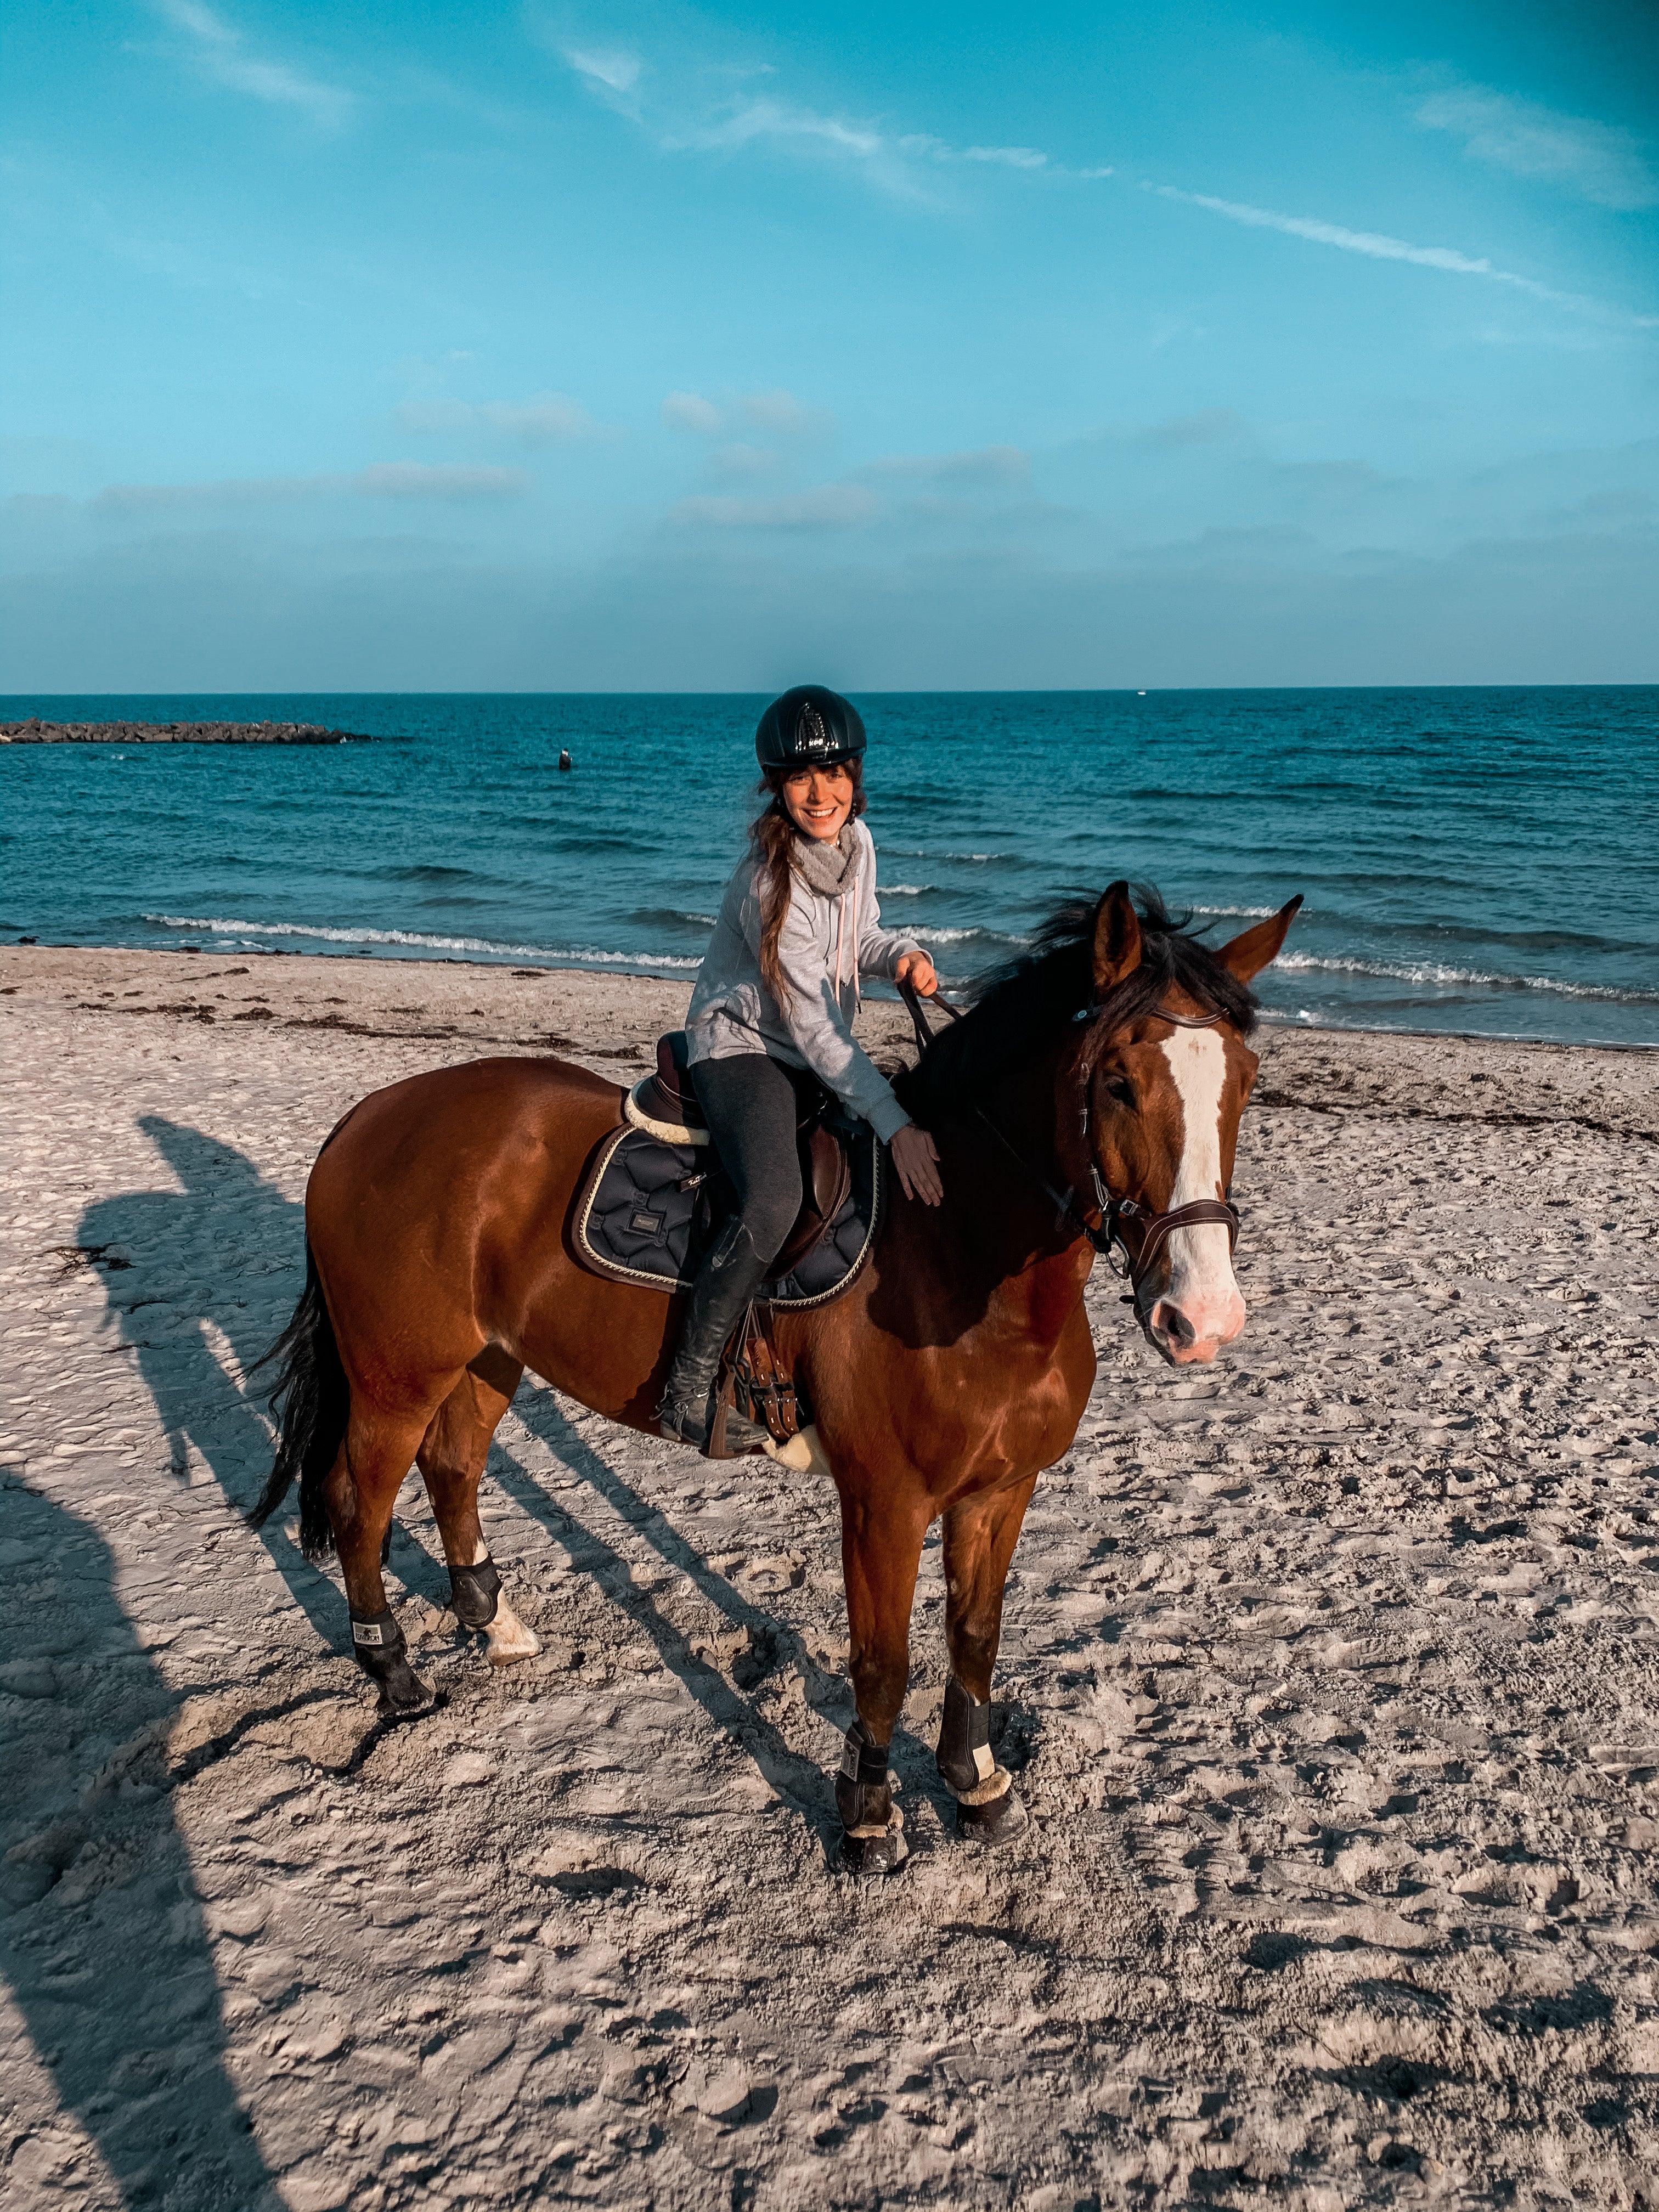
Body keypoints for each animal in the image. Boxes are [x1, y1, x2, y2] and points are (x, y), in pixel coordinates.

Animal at [251, 880, 1299, 1872]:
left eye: (1245, 1082)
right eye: (1118, 1083)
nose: (1202, 1319)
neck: (960, 1254)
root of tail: (368, 1118)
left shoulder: (1001, 1491)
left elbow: (975, 1638)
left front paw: (976, 1787)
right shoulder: (884, 1503)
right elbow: (882, 1663)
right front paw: (871, 1819)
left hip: (489, 1355)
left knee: (455, 1467)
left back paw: (492, 1622)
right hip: (396, 1376)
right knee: (363, 1504)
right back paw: (395, 1674)